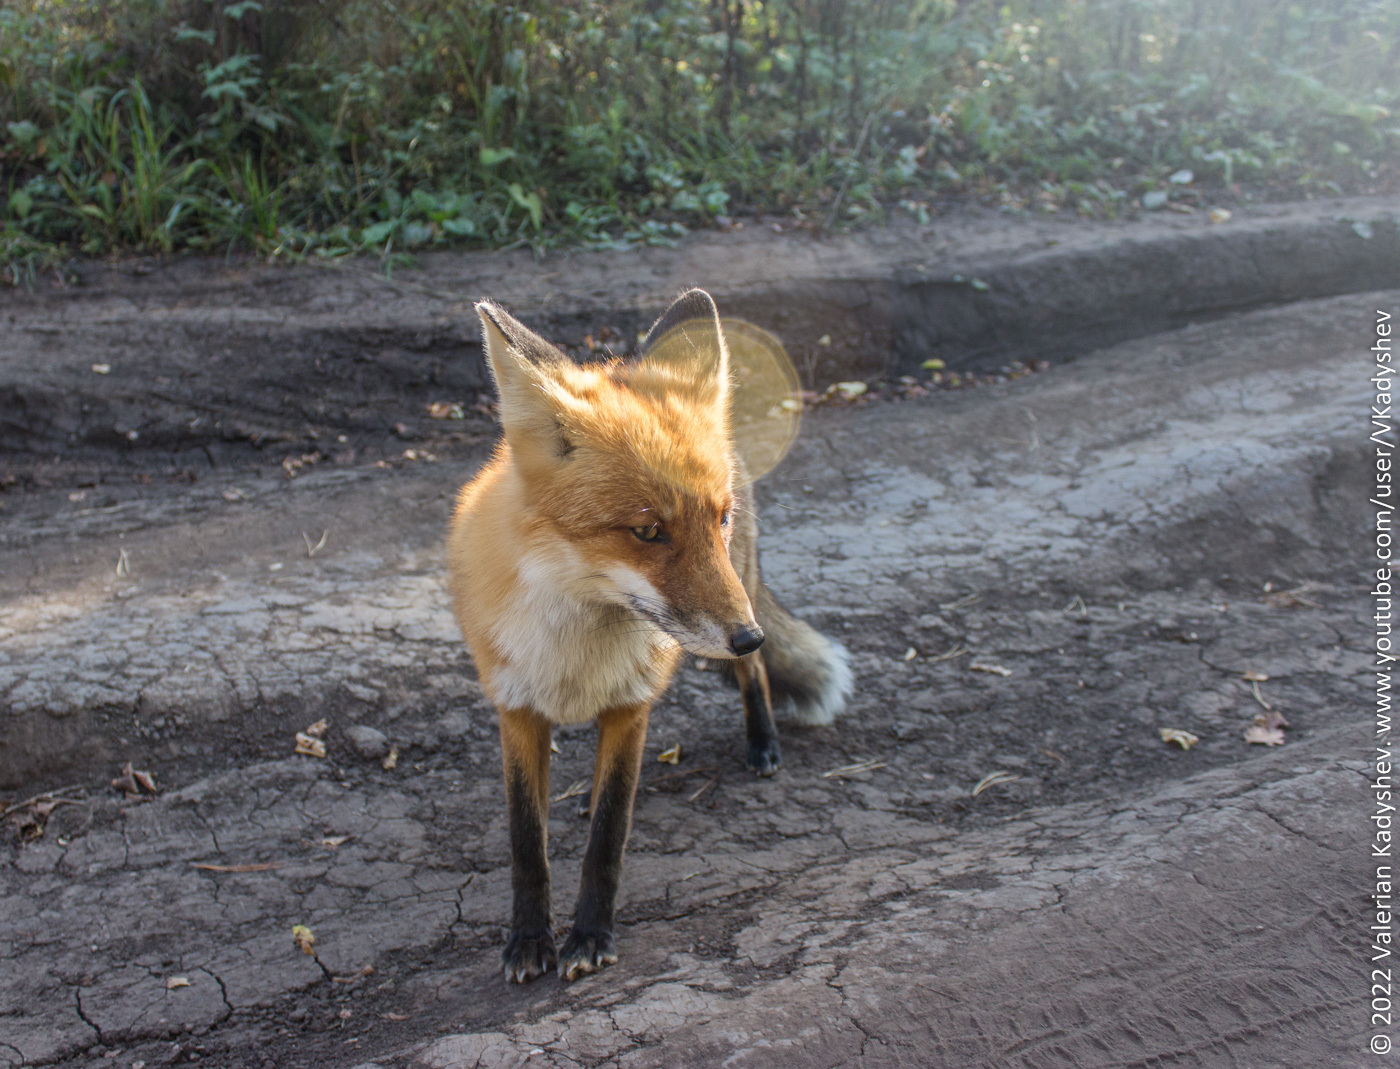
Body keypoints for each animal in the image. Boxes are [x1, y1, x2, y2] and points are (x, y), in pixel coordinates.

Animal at [445, 288, 851, 979]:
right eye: (647, 532)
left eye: (717, 519)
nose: (747, 636)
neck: (578, 644)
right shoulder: (517, 709)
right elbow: (527, 842)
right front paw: (528, 939)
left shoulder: (630, 709)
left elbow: (608, 837)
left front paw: (590, 936)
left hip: (740, 595)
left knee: (755, 680)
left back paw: (763, 743)